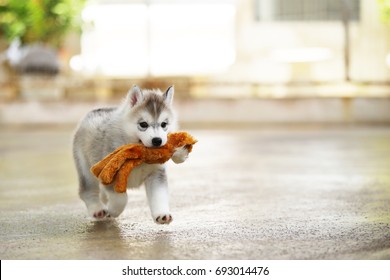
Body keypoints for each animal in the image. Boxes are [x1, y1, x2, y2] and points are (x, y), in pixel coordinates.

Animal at [73, 85, 189, 223]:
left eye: (164, 124)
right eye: (143, 124)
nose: (157, 140)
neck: (140, 157)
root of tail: (94, 112)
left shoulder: (155, 174)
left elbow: (159, 195)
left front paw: (162, 215)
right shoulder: (110, 175)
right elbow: (121, 199)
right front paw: (113, 211)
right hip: (85, 168)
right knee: (87, 191)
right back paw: (98, 210)